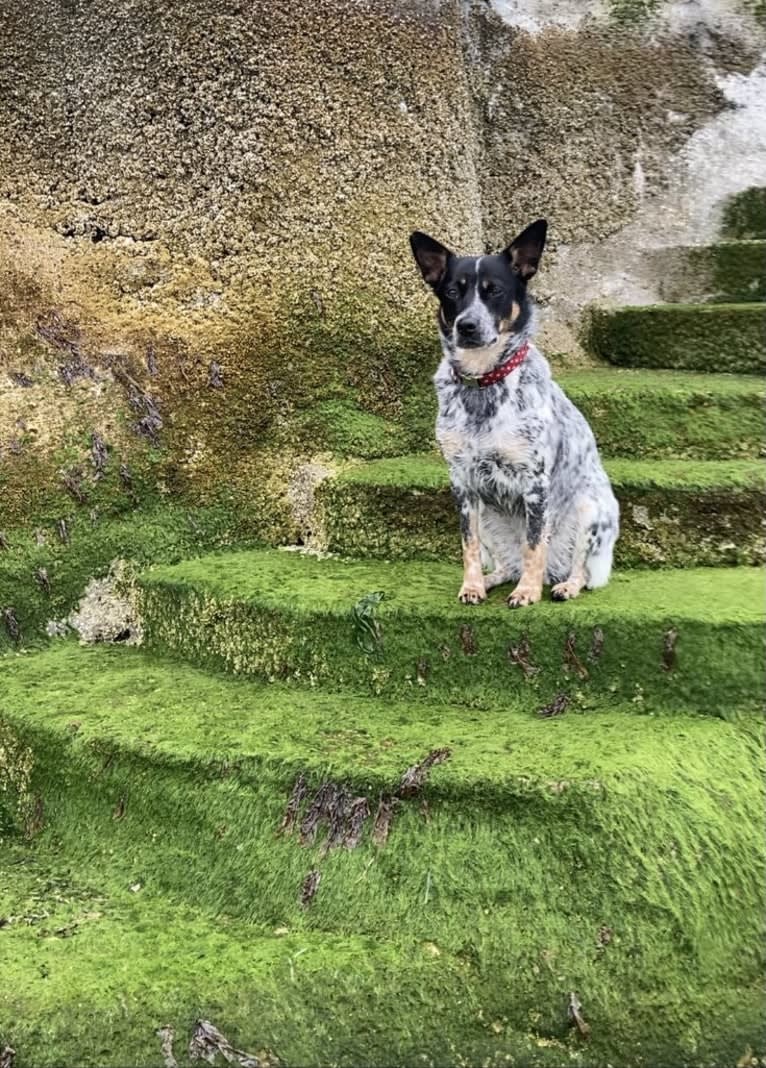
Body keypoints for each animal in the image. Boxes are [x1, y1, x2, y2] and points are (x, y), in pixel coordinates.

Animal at [410, 218, 619, 610]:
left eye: (495, 291)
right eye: (452, 292)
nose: (467, 326)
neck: (482, 383)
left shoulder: (535, 482)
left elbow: (534, 545)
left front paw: (527, 592)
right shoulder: (463, 485)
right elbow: (469, 546)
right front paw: (472, 586)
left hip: (592, 511)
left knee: (580, 571)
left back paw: (563, 585)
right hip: (489, 518)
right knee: (507, 564)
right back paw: (493, 579)